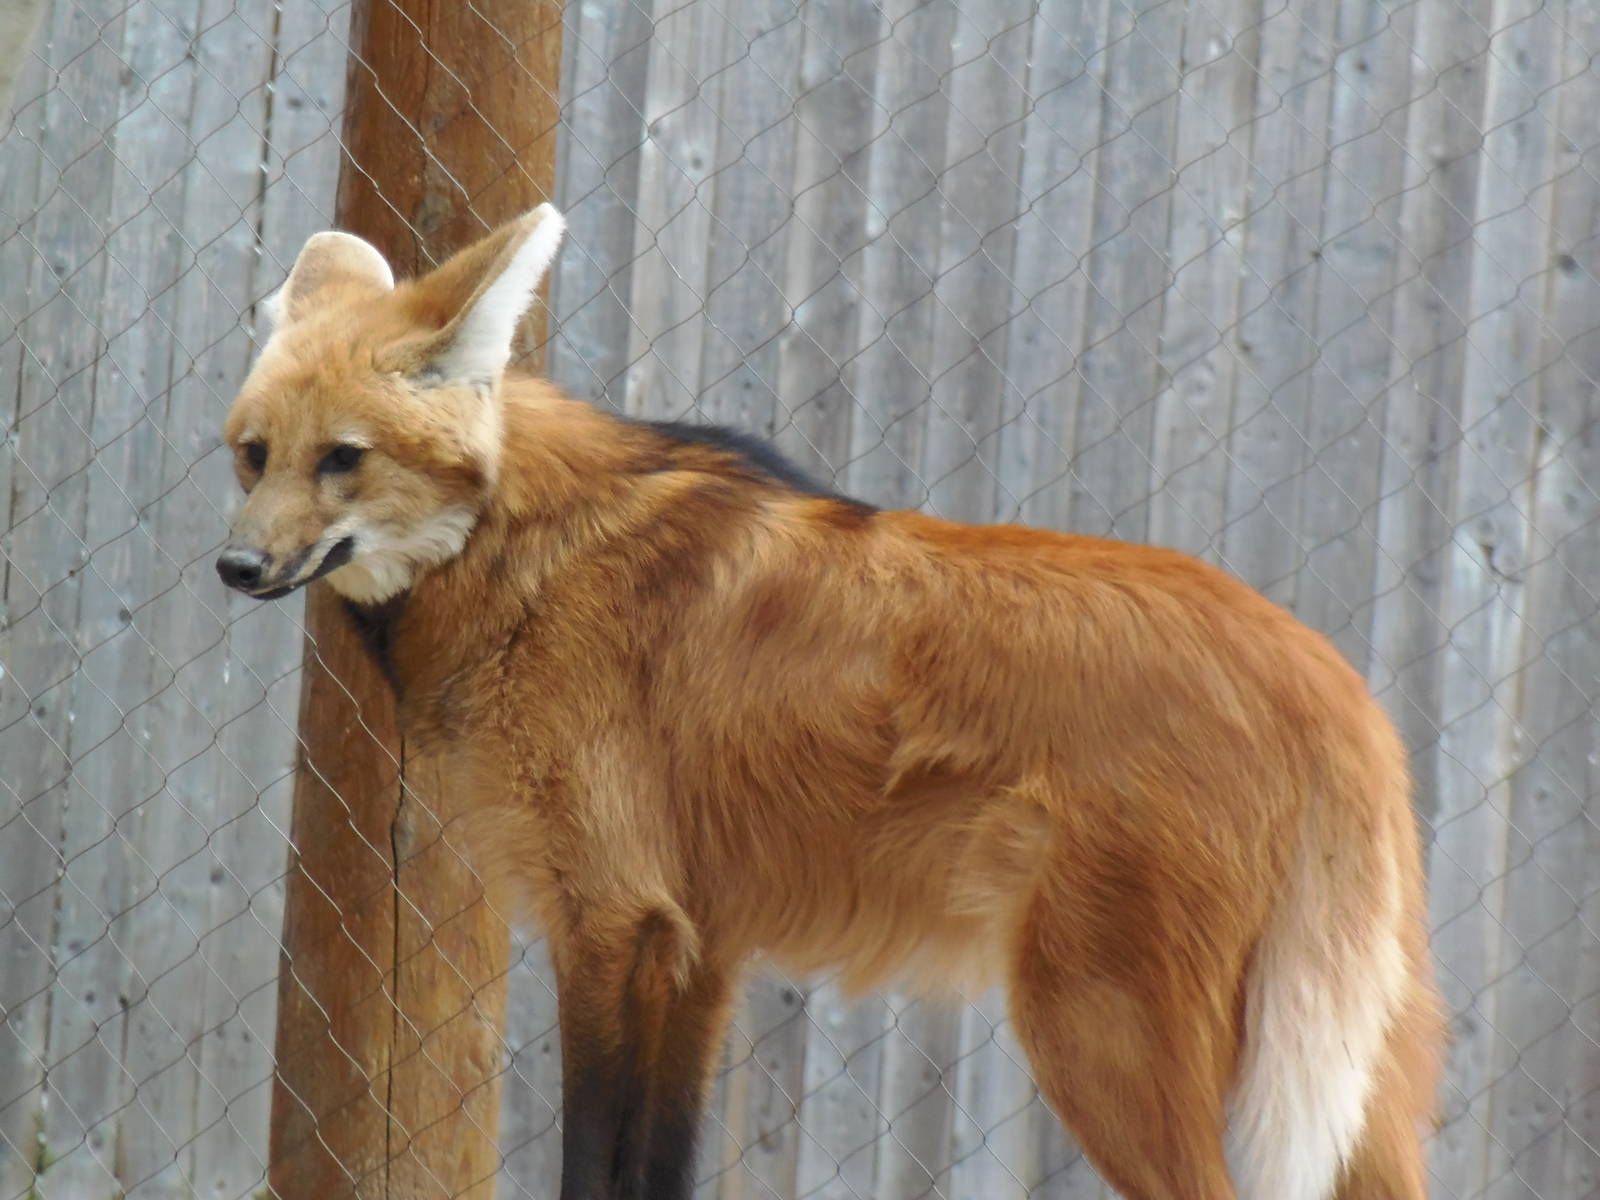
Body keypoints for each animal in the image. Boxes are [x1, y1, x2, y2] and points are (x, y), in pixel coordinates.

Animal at [217, 203, 1443, 1200]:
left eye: (344, 459)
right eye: (253, 456)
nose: (235, 568)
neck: (517, 551)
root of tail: (1326, 677)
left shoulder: (612, 924)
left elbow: (596, 1165)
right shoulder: (699, 946)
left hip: (1103, 1027)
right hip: (1342, 1066)